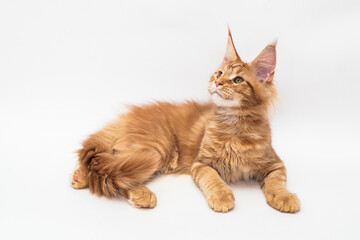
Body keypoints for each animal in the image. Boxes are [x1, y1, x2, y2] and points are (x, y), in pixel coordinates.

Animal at [71, 28, 300, 214]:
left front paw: (285, 197)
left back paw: (79, 177)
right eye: (219, 73)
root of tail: (127, 117)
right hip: (153, 150)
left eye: (238, 80)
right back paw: (141, 194)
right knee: (116, 171)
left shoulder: (275, 163)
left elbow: (277, 182)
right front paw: (222, 197)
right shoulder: (201, 163)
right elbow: (213, 179)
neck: (234, 125)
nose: (217, 82)